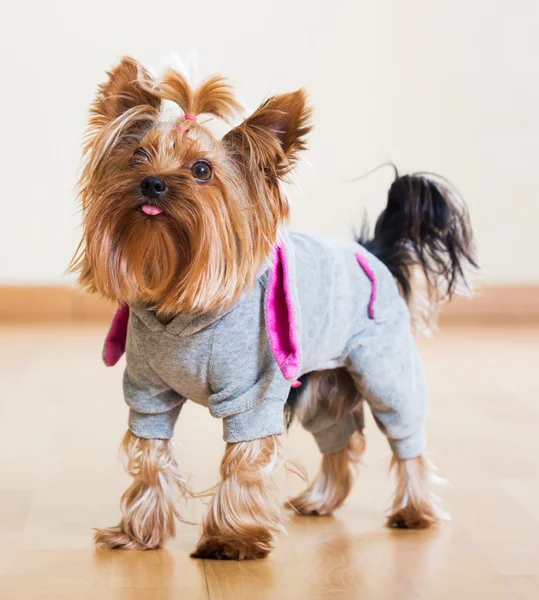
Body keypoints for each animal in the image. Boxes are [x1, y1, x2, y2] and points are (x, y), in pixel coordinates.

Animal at [70, 55, 476, 556]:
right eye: (138, 156)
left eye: (202, 170)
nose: (152, 183)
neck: (180, 305)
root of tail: (372, 252)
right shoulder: (147, 392)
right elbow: (150, 454)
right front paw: (138, 532)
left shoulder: (255, 391)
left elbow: (244, 459)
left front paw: (231, 539)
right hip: (322, 382)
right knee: (340, 438)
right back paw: (321, 500)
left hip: (384, 368)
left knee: (406, 437)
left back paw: (415, 510)